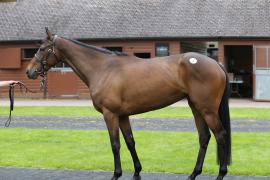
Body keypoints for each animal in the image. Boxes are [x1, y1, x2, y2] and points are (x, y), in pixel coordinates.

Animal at [26, 28, 231, 180]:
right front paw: (137, 172)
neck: (102, 68)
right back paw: (193, 174)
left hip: (207, 110)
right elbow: (130, 142)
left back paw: (220, 174)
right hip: (196, 107)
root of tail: (215, 64)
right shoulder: (123, 115)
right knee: (204, 137)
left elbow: (115, 144)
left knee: (220, 136)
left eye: (42, 48)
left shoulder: (110, 114)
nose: (29, 71)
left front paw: (116, 174)